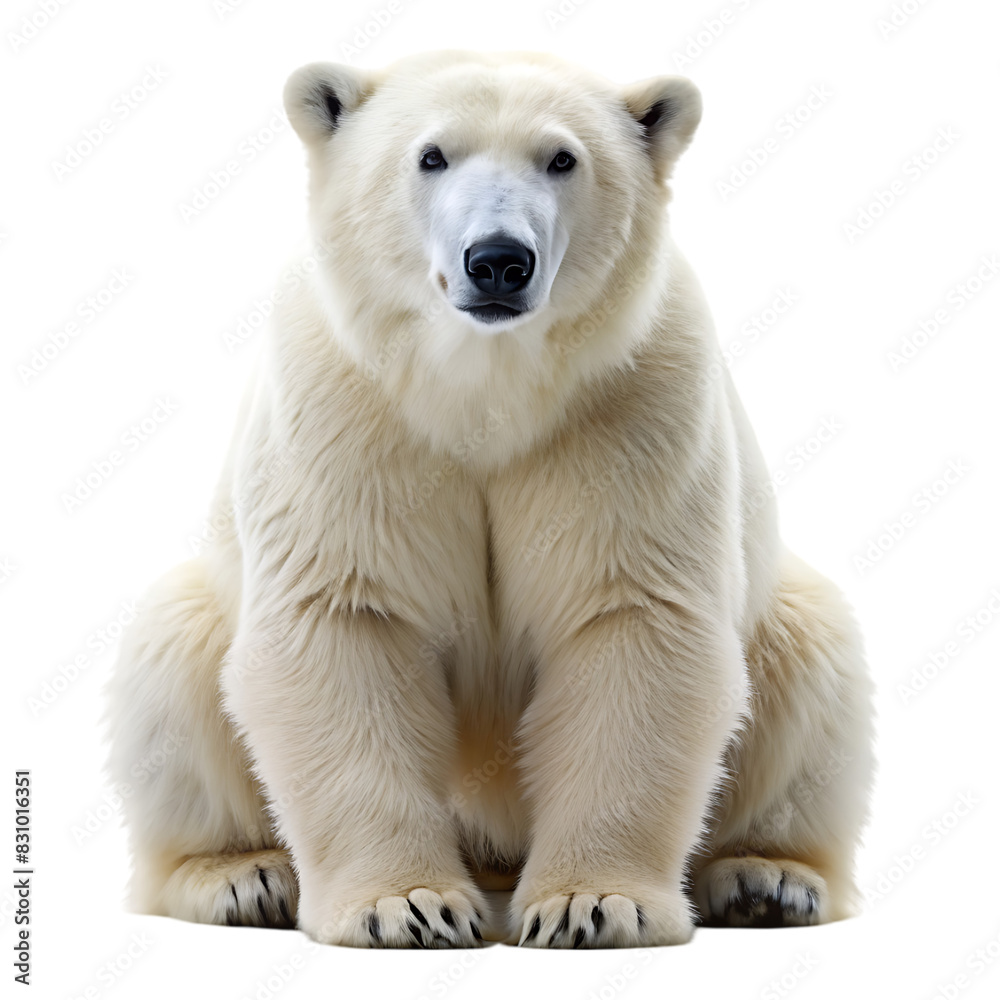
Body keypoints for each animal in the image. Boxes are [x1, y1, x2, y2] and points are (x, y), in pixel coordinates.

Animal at [106, 50, 874, 948]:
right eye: (431, 155)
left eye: (562, 157)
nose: (499, 260)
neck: (486, 388)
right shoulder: (346, 402)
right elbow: (342, 617)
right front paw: (407, 905)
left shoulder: (632, 403)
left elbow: (632, 621)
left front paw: (591, 904)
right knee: (173, 652)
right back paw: (241, 877)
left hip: (780, 617)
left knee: (810, 653)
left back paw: (767, 880)